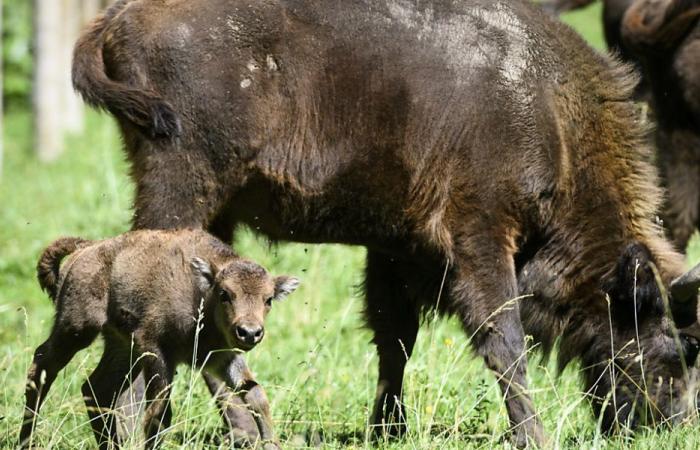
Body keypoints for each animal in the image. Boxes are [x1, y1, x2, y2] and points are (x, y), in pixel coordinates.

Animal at [19, 230, 298, 448]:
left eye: (268, 299)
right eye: (225, 293)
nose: (249, 332)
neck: (200, 294)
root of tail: (86, 249)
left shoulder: (222, 358)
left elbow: (256, 396)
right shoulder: (157, 351)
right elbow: (160, 413)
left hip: (122, 348)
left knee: (96, 388)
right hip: (76, 329)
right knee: (42, 367)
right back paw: (26, 441)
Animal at [72, 0, 700, 444]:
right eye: (676, 351)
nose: (672, 426)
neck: (549, 110)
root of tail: (117, 17)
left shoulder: (399, 249)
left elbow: (395, 338)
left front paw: (386, 430)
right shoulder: (479, 236)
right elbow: (504, 341)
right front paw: (534, 436)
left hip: (212, 212)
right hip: (181, 191)